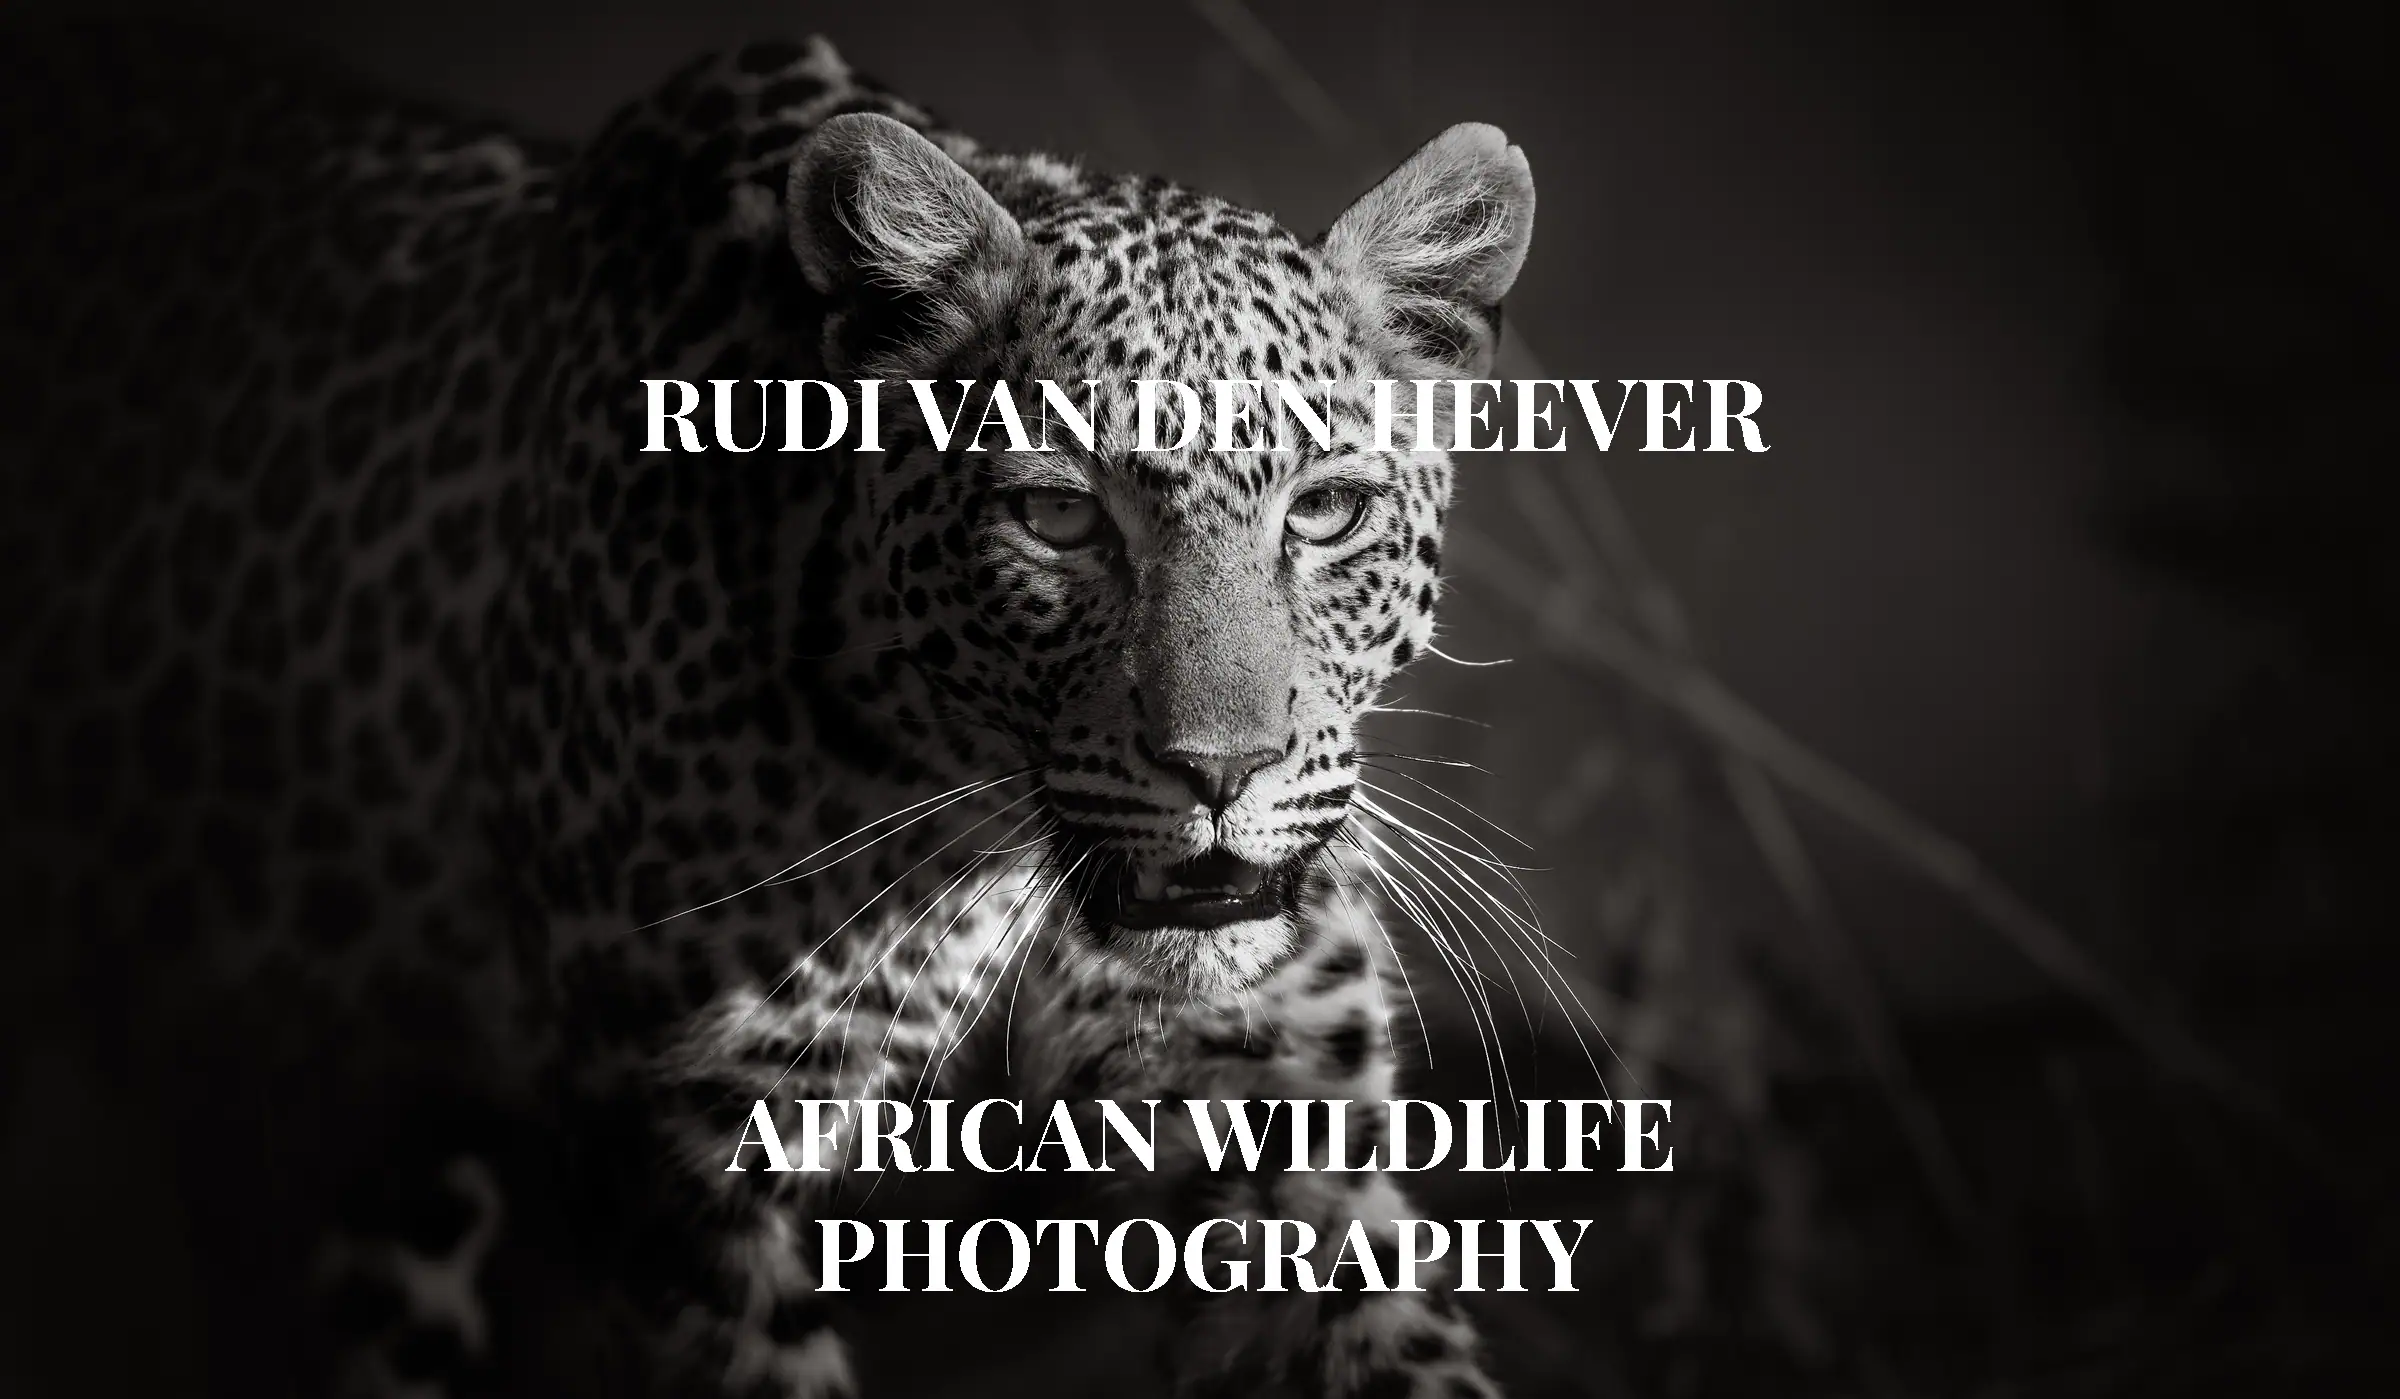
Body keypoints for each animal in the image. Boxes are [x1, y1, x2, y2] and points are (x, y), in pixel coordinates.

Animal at [0, 18, 1536, 1399]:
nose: (1221, 770)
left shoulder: (1274, 1113)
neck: (968, 808)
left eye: (1326, 511)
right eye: (1055, 519)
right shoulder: (672, 1163)